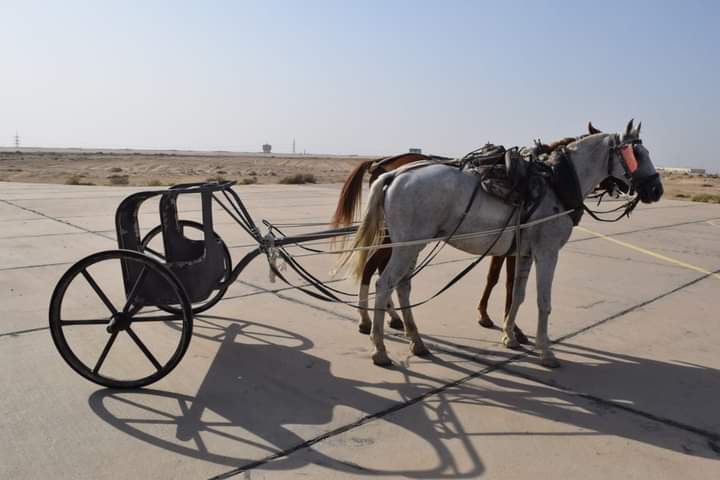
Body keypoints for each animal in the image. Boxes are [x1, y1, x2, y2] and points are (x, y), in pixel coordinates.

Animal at [340, 120, 663, 368]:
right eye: (637, 153)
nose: (656, 189)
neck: (555, 184)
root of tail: (394, 173)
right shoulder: (547, 253)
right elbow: (542, 301)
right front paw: (546, 351)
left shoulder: (524, 253)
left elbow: (517, 295)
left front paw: (509, 335)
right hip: (404, 245)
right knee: (384, 283)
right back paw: (379, 348)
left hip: (413, 245)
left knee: (402, 285)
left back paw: (416, 340)